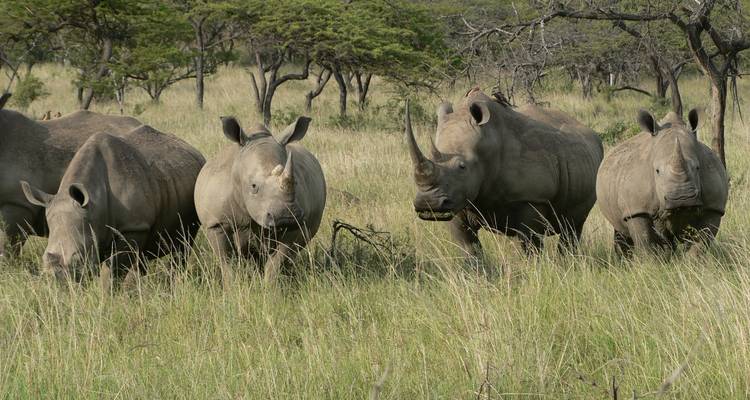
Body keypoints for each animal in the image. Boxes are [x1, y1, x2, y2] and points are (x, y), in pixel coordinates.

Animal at [20, 126, 205, 280]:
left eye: (78, 259)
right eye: (43, 259)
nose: (59, 284)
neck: (94, 204)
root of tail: (193, 150)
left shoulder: (132, 227)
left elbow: (113, 271)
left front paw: (108, 295)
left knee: (183, 245)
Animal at [194, 116, 326, 283]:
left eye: (295, 182)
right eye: (253, 186)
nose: (286, 217)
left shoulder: (297, 226)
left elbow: (277, 261)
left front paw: (269, 286)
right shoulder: (216, 222)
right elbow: (226, 261)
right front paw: (232, 286)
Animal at [405, 89, 603, 255]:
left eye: (462, 167)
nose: (428, 204)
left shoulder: (531, 199)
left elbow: (530, 246)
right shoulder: (458, 199)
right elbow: (468, 247)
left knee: (571, 228)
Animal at [596, 109, 728, 253]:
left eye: (697, 168)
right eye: (657, 171)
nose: (682, 198)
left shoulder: (714, 206)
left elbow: (701, 243)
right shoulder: (636, 210)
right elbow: (646, 244)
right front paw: (651, 259)